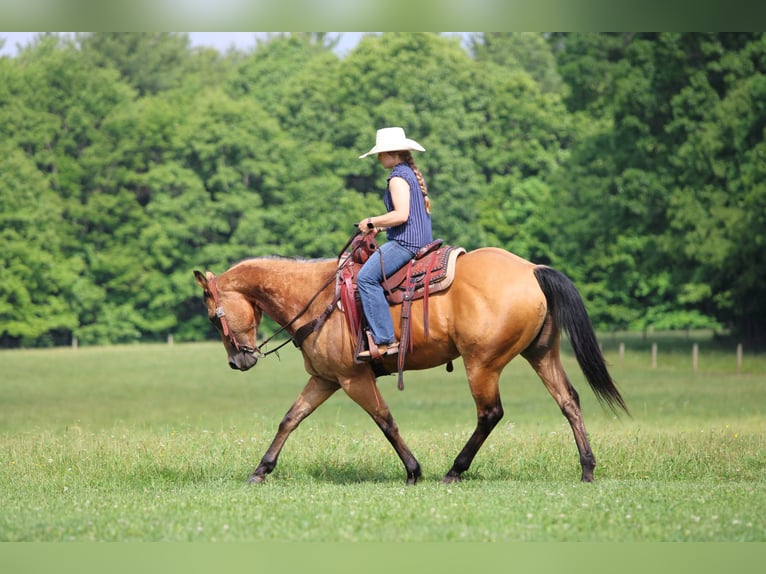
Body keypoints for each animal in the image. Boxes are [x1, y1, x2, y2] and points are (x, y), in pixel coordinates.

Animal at [193, 246, 629, 485]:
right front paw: (261, 470)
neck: (319, 298)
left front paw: (414, 470)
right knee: (569, 401)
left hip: (482, 364)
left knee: (490, 413)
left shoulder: (353, 379)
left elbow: (386, 421)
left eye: (214, 317)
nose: (238, 360)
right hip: (541, 354)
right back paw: (587, 468)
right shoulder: (325, 379)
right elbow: (290, 419)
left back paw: (454, 470)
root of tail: (531, 269)